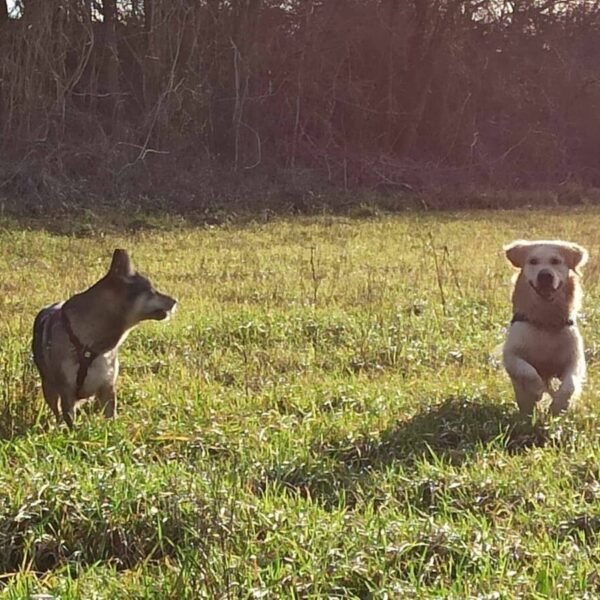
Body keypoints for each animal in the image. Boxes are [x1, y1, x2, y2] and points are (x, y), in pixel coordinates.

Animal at [502, 238, 592, 412]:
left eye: (555, 261)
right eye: (533, 261)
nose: (545, 275)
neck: (546, 321)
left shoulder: (575, 359)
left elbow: (570, 384)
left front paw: (559, 404)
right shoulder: (510, 355)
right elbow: (528, 371)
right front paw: (537, 389)